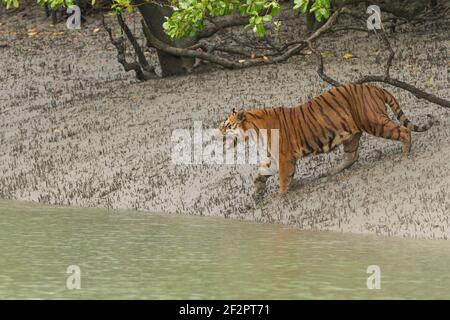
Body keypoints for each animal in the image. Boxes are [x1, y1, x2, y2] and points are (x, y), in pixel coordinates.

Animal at [218, 84, 436, 196]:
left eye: (227, 125)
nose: (218, 133)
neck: (253, 131)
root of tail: (374, 86)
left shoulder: (284, 157)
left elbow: (283, 179)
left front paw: (280, 197)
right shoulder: (274, 157)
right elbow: (262, 171)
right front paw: (257, 188)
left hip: (374, 122)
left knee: (403, 131)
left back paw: (406, 153)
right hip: (351, 135)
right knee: (352, 156)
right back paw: (331, 172)